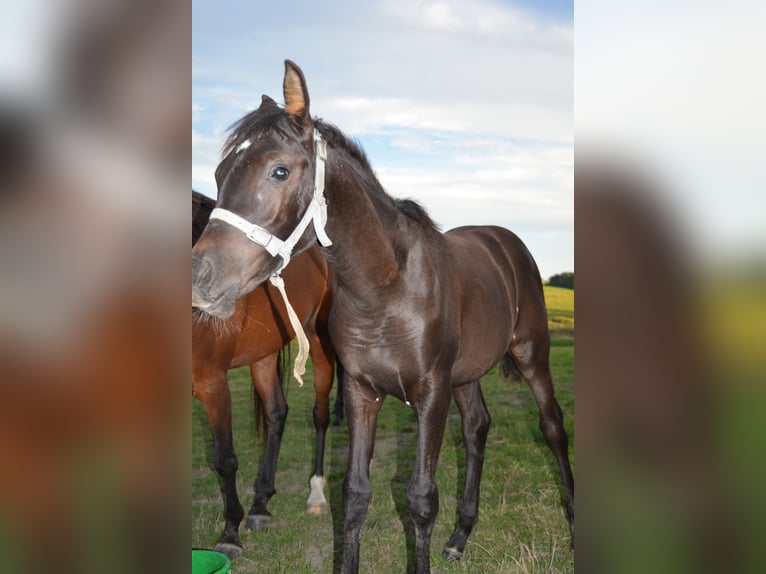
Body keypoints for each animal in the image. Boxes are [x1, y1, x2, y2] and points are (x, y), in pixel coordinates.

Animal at [194, 191, 344, 560]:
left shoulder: (213, 384)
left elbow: (225, 460)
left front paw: (230, 533)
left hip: (319, 343)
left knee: (319, 415)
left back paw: (316, 491)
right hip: (262, 355)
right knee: (277, 412)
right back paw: (261, 503)